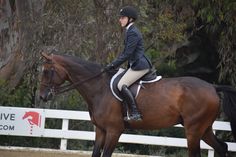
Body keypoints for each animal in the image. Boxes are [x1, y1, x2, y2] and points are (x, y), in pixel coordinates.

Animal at [39, 53, 236, 157]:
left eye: (48, 71)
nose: (42, 96)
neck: (99, 88)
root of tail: (212, 86)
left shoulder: (114, 130)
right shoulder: (100, 130)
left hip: (193, 130)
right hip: (204, 128)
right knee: (222, 147)